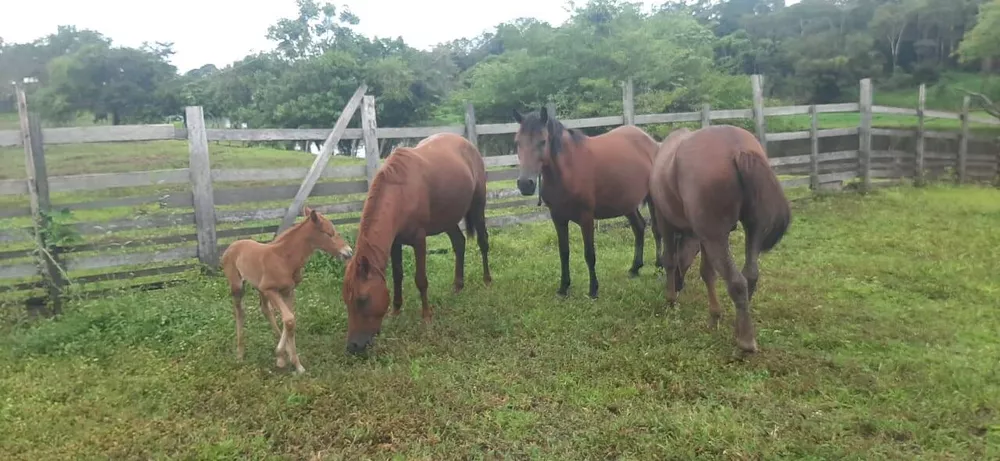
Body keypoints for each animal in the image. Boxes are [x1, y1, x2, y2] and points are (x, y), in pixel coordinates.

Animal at [223, 207, 356, 372]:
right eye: (328, 233)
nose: (348, 252)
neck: (284, 258)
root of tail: (232, 245)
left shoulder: (288, 291)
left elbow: (290, 320)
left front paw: (292, 361)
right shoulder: (271, 290)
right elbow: (289, 319)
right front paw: (284, 357)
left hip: (259, 288)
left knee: (266, 310)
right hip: (238, 286)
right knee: (240, 312)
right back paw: (240, 354)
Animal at [342, 131, 490, 354]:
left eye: (362, 299)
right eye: (346, 301)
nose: (353, 346)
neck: (400, 192)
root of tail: (467, 143)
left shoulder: (419, 240)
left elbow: (421, 280)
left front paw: (427, 317)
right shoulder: (395, 243)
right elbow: (397, 276)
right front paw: (395, 311)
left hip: (478, 205)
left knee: (483, 242)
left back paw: (488, 280)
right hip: (447, 218)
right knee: (459, 243)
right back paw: (457, 286)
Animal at [512, 105, 660, 298]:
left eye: (543, 141)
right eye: (517, 142)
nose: (525, 184)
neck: (568, 171)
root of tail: (652, 142)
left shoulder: (586, 218)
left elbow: (589, 254)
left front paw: (593, 290)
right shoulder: (558, 218)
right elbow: (564, 252)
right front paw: (563, 288)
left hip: (652, 199)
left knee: (657, 230)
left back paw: (660, 267)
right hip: (627, 203)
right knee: (639, 227)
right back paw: (635, 268)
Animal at [648, 124, 796, 350]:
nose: (680, 285)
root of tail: (739, 149)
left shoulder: (667, 222)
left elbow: (670, 261)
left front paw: (671, 300)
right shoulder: (703, 236)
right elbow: (707, 272)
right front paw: (714, 316)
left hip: (715, 236)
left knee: (737, 282)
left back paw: (745, 342)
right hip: (750, 229)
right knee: (750, 275)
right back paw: (739, 329)